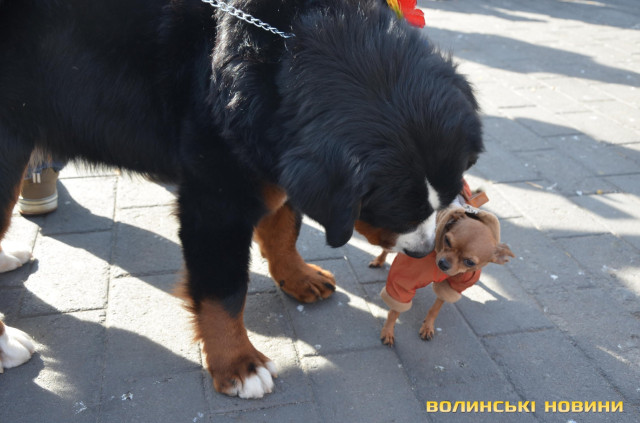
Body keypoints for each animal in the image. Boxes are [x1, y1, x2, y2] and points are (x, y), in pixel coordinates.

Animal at [0, 0, 483, 398]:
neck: (284, 51)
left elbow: (284, 228)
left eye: (443, 199)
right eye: (398, 211)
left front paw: (297, 276)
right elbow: (224, 292)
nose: (424, 253)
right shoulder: (217, 198)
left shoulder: (273, 153)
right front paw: (238, 365)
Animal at [371, 188, 514, 346]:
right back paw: (379, 260)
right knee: (386, 248)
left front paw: (428, 326)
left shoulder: (451, 286)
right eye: (447, 240)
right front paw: (388, 330)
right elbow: (395, 310)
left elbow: (436, 308)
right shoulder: (404, 280)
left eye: (470, 262)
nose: (443, 263)